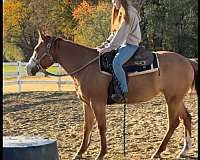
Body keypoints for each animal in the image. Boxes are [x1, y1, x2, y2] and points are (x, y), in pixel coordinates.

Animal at [25, 30, 198, 159]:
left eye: (36, 49)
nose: (28, 68)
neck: (86, 65)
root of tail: (188, 61)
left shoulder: (97, 102)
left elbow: (101, 126)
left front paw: (101, 153)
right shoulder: (86, 103)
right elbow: (87, 127)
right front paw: (80, 152)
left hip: (172, 99)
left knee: (173, 123)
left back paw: (158, 151)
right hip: (176, 99)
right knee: (186, 118)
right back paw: (184, 150)